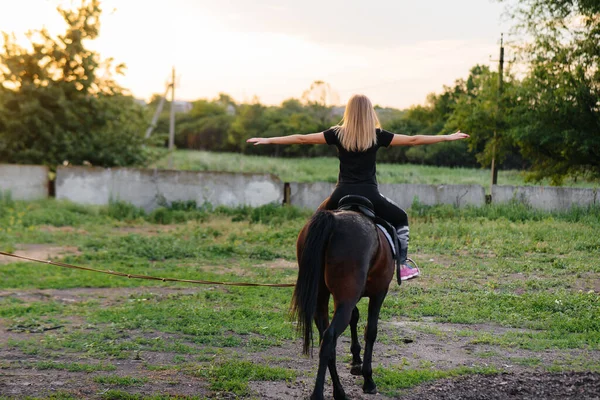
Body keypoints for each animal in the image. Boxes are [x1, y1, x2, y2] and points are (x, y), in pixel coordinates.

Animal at [290, 205, 394, 398]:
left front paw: (356, 360)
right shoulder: (379, 292)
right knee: (329, 338)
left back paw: (338, 391)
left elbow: (355, 317)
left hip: (322, 299)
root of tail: (332, 220)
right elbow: (371, 331)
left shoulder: (349, 298)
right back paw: (318, 394)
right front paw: (368, 379)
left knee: (326, 339)